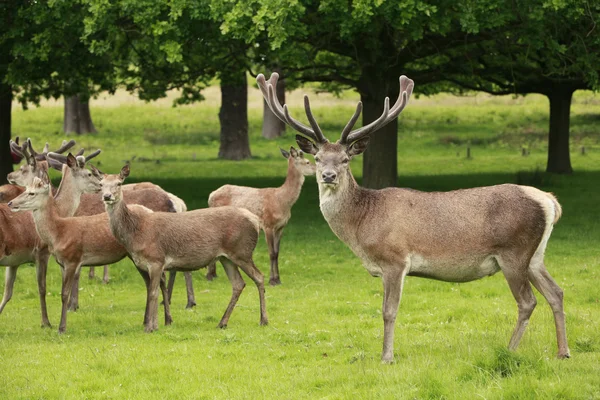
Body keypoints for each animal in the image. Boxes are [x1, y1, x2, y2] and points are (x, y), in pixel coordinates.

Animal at [99, 164, 266, 332]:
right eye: (101, 184)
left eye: (119, 183)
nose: (107, 196)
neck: (135, 234)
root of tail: (256, 221)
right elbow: (154, 292)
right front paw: (156, 324)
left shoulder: (156, 260)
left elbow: (153, 293)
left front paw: (150, 328)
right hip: (226, 258)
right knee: (238, 284)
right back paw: (222, 322)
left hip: (242, 251)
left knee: (259, 277)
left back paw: (263, 320)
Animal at [206, 146, 316, 284]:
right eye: (307, 162)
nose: (318, 170)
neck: (282, 201)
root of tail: (210, 196)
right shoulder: (268, 224)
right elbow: (271, 253)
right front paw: (272, 280)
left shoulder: (281, 227)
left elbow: (277, 253)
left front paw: (278, 279)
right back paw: (210, 275)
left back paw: (214, 274)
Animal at [256, 72, 568, 362]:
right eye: (318, 158)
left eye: (345, 159)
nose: (328, 176)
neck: (361, 226)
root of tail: (550, 202)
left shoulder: (395, 259)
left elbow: (389, 311)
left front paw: (386, 357)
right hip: (535, 255)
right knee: (556, 292)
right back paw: (562, 352)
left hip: (513, 252)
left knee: (527, 301)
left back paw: (510, 349)